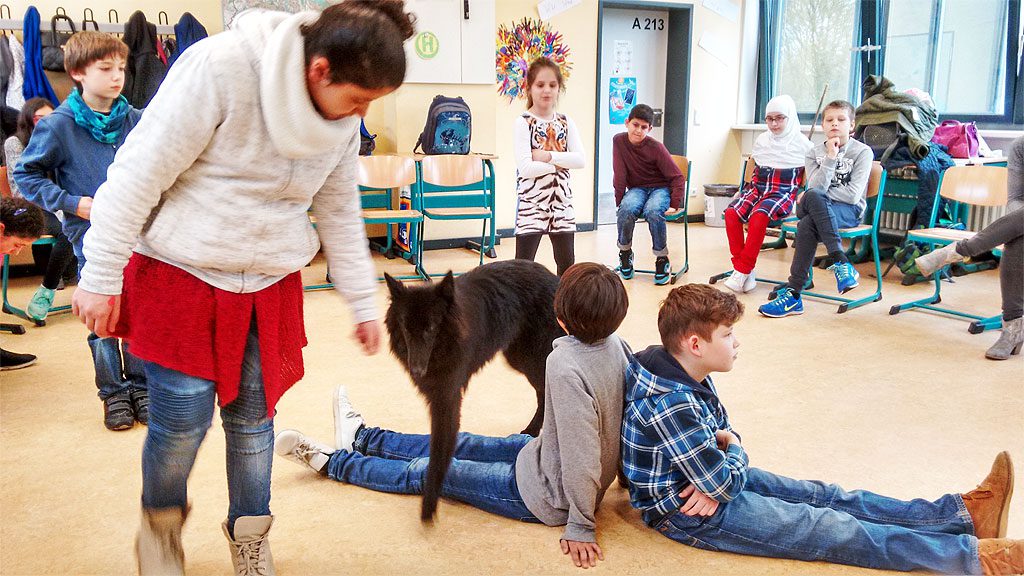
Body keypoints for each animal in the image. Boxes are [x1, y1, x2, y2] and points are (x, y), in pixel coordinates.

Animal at [382, 260, 561, 520]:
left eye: (431, 328)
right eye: (405, 327)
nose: (417, 371)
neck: (444, 345)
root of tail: (553, 276)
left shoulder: (447, 398)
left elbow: (438, 450)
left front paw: (429, 502)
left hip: (532, 358)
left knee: (544, 389)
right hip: (518, 358)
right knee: (541, 391)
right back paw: (532, 429)